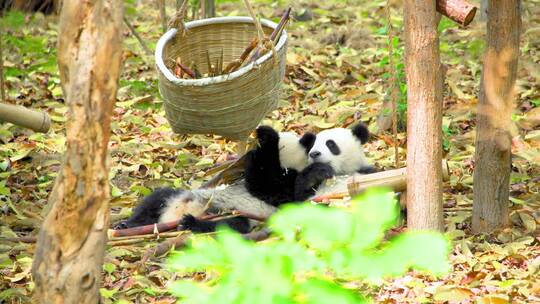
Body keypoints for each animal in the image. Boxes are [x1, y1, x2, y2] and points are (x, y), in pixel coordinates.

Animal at [114, 123, 376, 233]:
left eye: (331, 144)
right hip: (181, 195)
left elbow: (276, 191)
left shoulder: (284, 191)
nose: (315, 153)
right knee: (157, 198)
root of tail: (173, 215)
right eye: (315, 144)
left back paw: (192, 223)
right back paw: (127, 224)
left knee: (231, 226)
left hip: (236, 215)